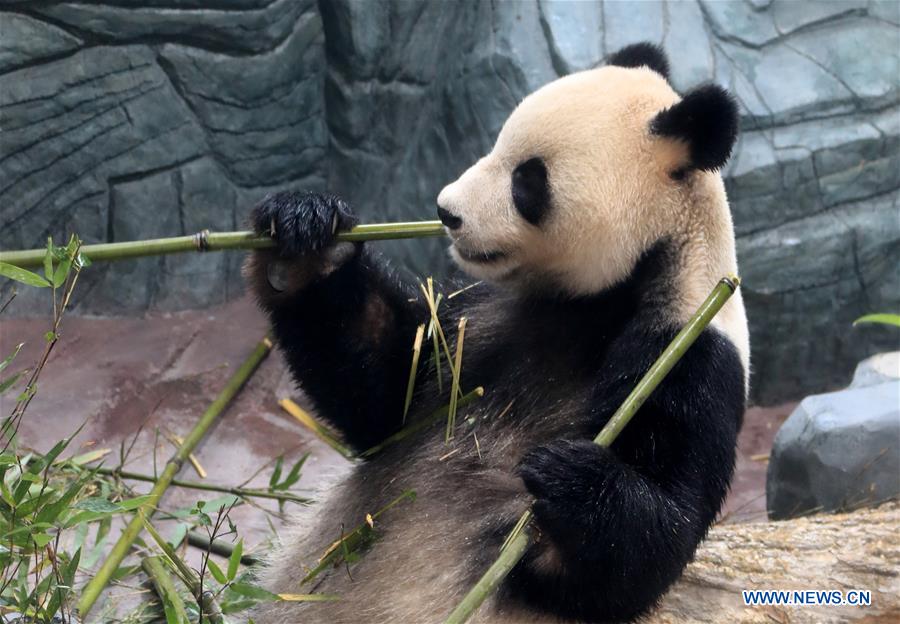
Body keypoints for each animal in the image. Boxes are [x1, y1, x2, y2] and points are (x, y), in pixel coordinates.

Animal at [243, 44, 748, 624]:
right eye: (495, 143)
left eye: (527, 180)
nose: (446, 211)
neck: (605, 296)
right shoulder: (483, 318)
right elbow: (387, 392)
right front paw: (307, 236)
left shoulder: (687, 352)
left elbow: (643, 551)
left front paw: (570, 477)